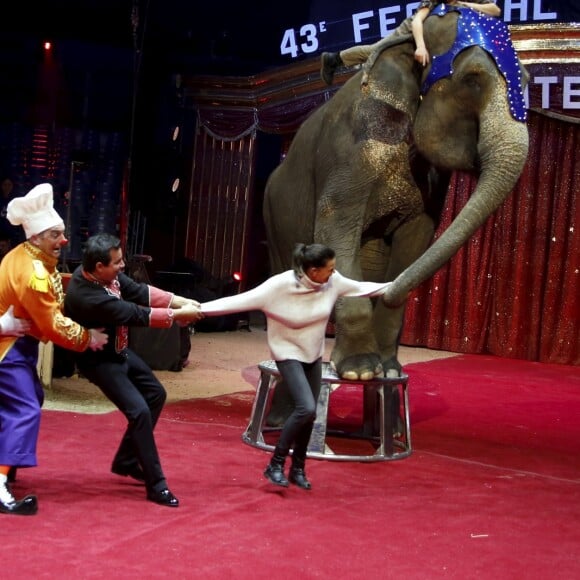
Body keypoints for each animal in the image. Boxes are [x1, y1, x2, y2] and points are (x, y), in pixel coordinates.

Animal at [262, 6, 532, 386]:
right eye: (472, 79)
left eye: (526, 80)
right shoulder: (355, 142)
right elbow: (336, 224)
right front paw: (360, 371)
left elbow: (415, 239)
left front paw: (387, 370)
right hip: (272, 215)